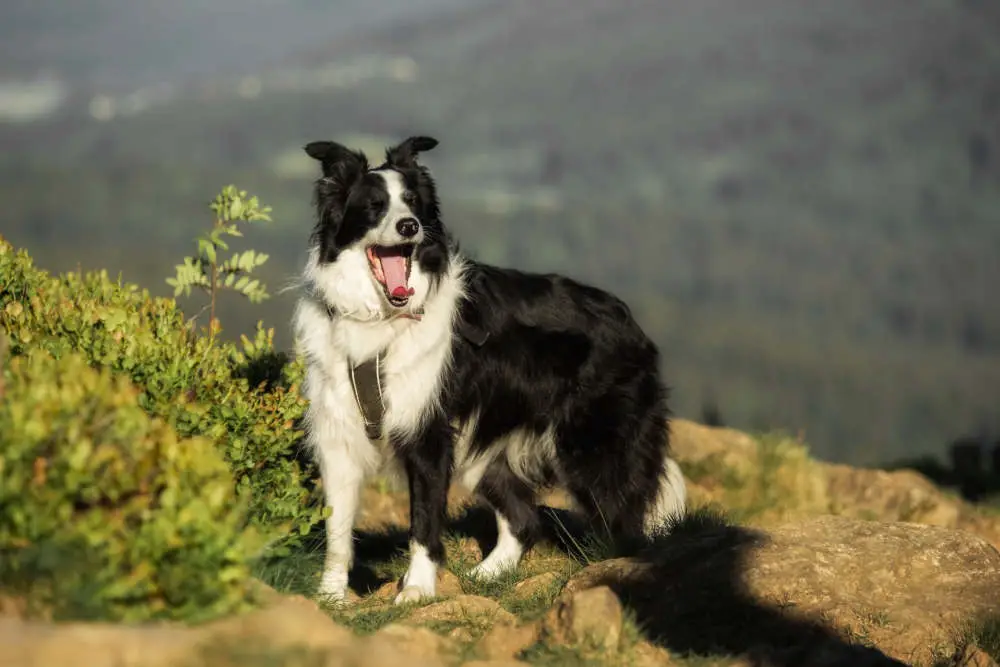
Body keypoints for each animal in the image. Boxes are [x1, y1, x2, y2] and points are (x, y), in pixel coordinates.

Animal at [292, 136, 688, 604]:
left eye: (413, 203)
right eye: (373, 206)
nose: (409, 227)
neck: (379, 320)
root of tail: (629, 322)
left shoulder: (428, 434)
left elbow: (423, 522)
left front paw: (417, 591)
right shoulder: (338, 435)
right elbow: (337, 528)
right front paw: (331, 596)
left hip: (594, 447)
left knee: (627, 521)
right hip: (486, 445)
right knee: (524, 519)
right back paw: (487, 575)